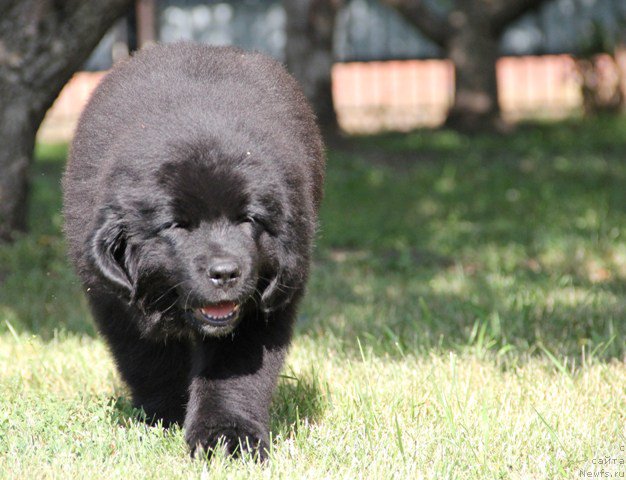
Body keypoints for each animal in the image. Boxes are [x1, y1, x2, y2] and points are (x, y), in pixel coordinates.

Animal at [62, 43, 324, 460]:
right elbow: (150, 359)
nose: (225, 272)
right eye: (177, 225)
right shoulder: (113, 299)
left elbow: (232, 373)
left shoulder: (263, 306)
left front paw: (228, 439)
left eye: (248, 219)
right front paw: (168, 417)